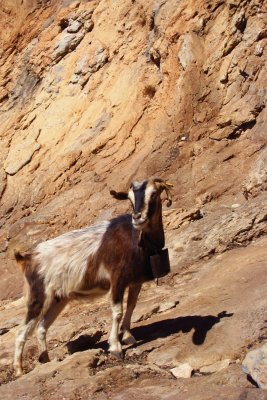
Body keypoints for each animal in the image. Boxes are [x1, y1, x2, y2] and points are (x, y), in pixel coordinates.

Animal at [13, 177, 174, 376]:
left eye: (154, 194)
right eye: (129, 199)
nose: (137, 217)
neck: (137, 238)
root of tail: (28, 258)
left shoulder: (135, 282)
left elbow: (131, 307)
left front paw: (128, 337)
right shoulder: (117, 279)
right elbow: (118, 312)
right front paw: (116, 347)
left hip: (58, 299)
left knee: (41, 328)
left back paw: (46, 360)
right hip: (38, 296)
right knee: (21, 332)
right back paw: (19, 370)